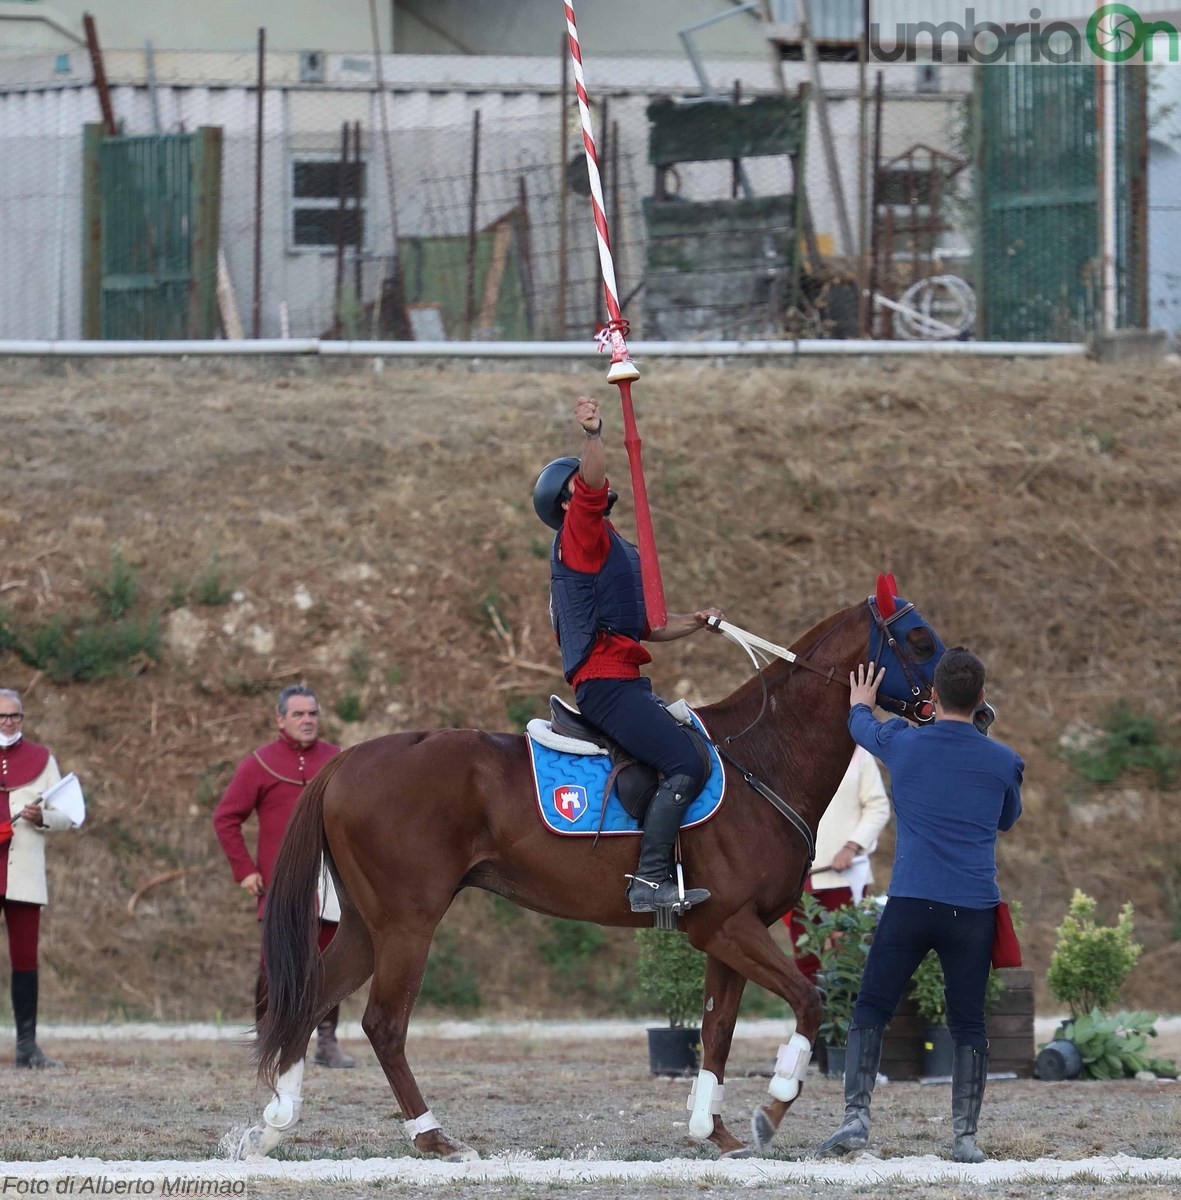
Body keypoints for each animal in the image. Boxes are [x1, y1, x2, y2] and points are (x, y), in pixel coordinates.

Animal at [247, 576, 940, 1156]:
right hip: (406, 926)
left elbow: (716, 1028)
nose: (956, 706)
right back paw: (433, 1136)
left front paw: (713, 1130)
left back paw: (276, 1122)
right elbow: (809, 1001)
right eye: (918, 638)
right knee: (383, 1024)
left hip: (367, 926)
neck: (763, 759)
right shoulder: (730, 927)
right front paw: (772, 1107)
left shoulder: (726, 933)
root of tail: (345, 760)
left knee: (310, 998)